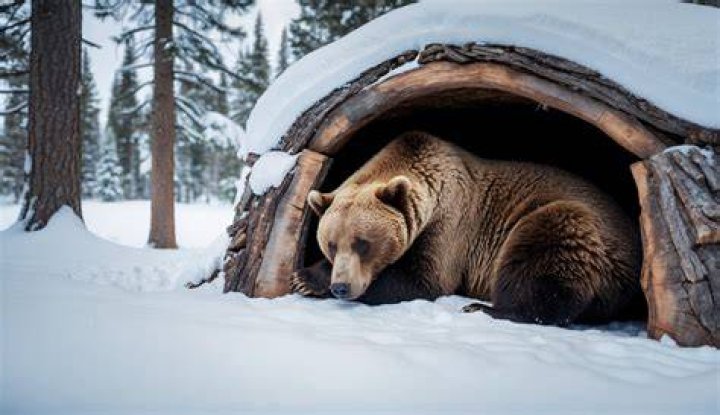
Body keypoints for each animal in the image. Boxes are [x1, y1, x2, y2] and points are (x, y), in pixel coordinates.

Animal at [291, 131, 643, 326]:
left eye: (363, 243)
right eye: (331, 244)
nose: (341, 287)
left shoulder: (450, 225)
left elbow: (424, 280)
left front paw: (310, 281)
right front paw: (304, 278)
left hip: (572, 225)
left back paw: (484, 308)